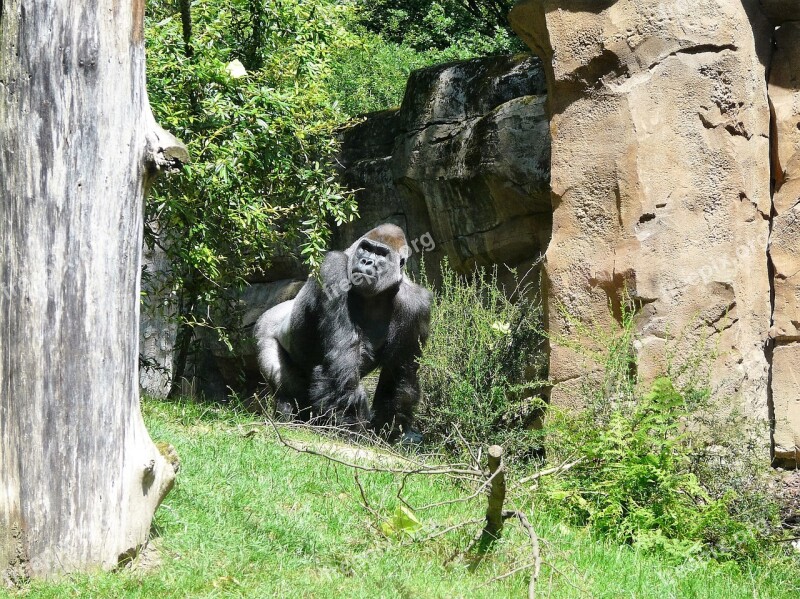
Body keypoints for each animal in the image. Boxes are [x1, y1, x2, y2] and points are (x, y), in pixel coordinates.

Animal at [255, 225, 432, 440]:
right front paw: (350, 428)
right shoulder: (334, 267)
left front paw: (389, 431)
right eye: (366, 248)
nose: (366, 261)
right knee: (285, 383)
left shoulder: (417, 304)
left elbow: (400, 375)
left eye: (381, 253)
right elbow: (341, 360)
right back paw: (289, 413)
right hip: (264, 329)